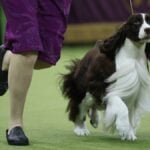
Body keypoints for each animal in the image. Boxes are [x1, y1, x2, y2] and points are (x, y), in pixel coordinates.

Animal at [61, 13, 150, 141]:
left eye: (149, 21)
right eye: (136, 22)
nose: (148, 29)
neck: (133, 57)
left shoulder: (135, 92)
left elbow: (131, 114)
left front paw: (130, 134)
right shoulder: (107, 88)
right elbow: (122, 107)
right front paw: (123, 128)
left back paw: (94, 119)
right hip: (83, 90)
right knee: (78, 107)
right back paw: (81, 129)